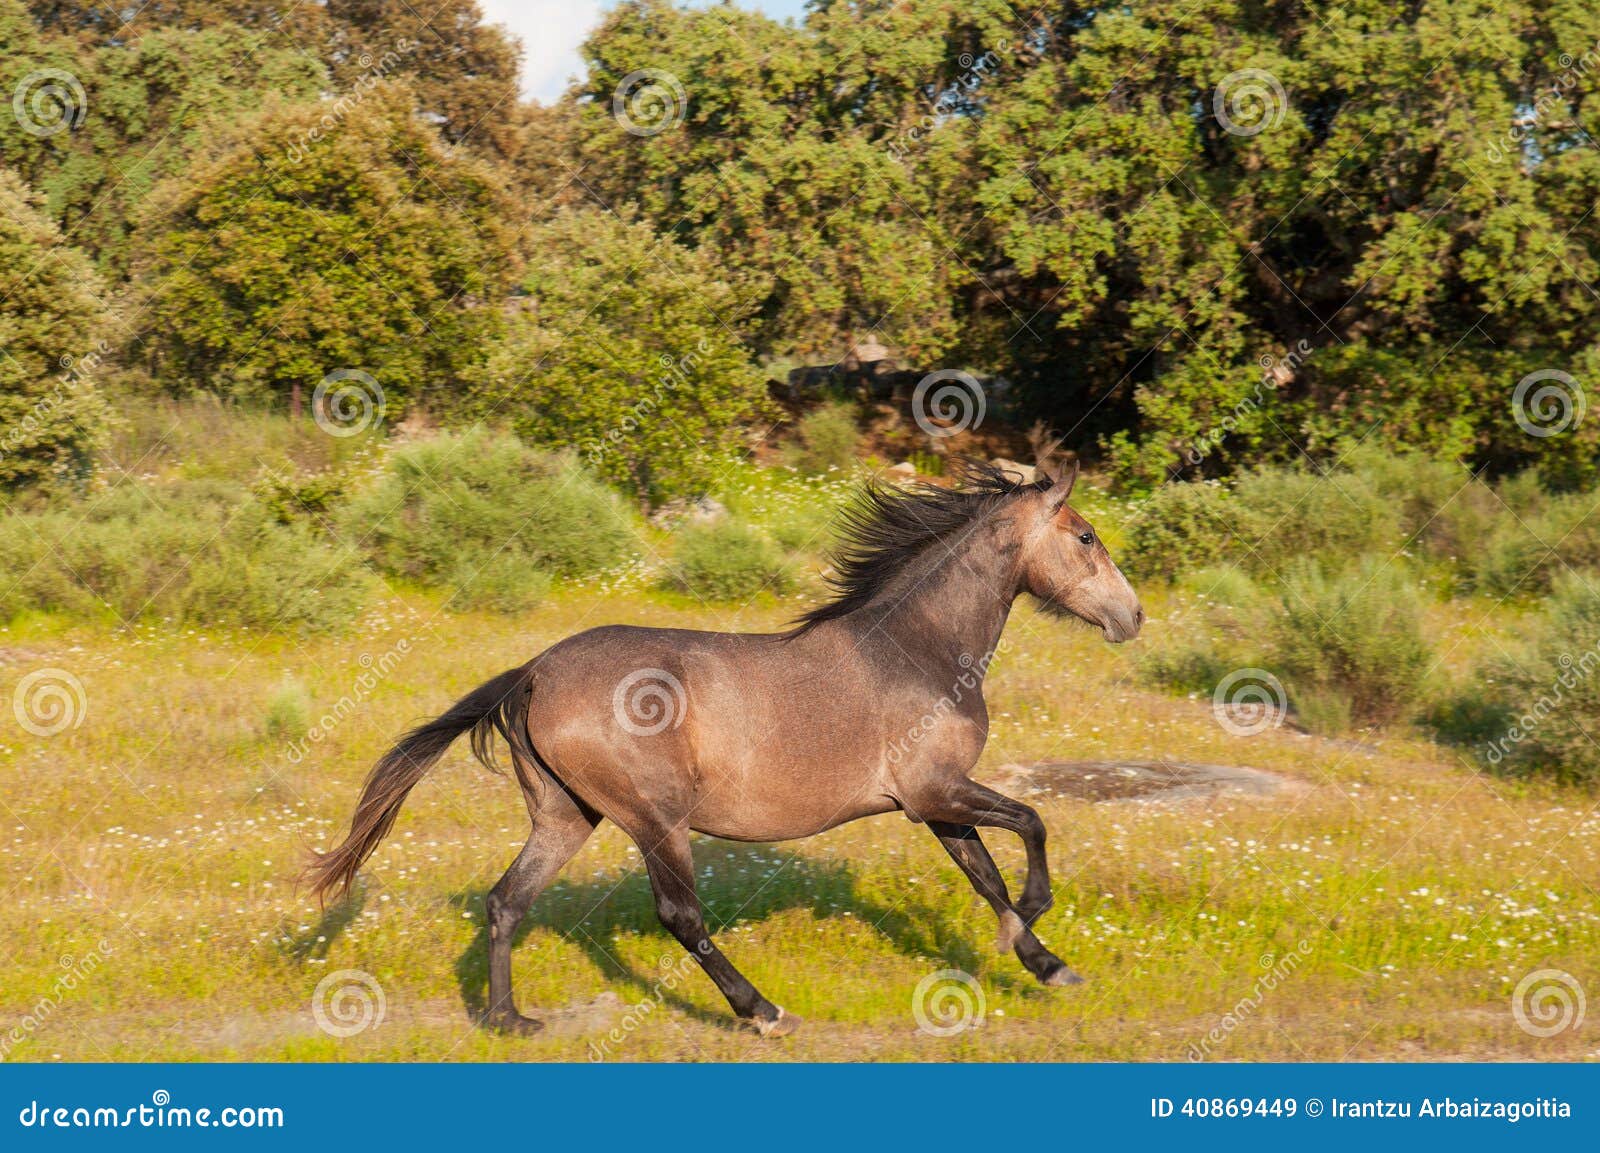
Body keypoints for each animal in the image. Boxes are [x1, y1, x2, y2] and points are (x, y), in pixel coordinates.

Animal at [306, 458, 1143, 1037]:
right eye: (1085, 535)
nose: (1132, 616)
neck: (917, 648)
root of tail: (534, 671)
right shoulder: (933, 789)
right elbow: (1031, 825)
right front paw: (1031, 918)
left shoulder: (937, 800)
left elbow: (985, 872)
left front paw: (1047, 964)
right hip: (655, 818)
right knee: (680, 915)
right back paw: (763, 1009)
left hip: (566, 814)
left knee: (508, 899)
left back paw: (511, 1019)